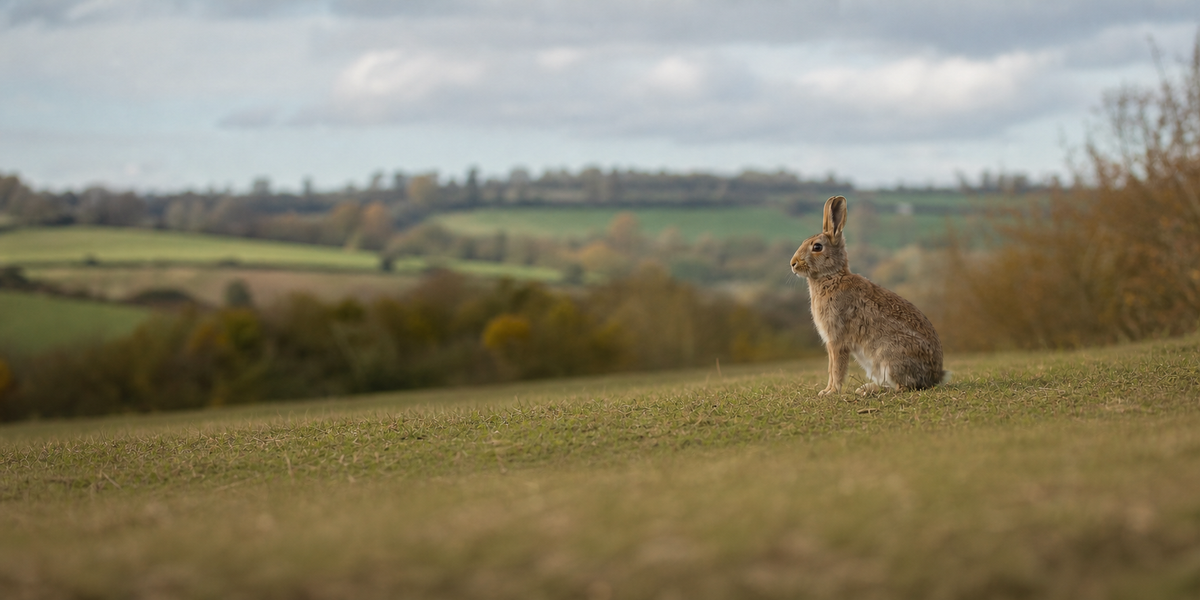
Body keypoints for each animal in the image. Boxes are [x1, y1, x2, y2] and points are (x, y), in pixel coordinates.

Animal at [791, 195, 947, 397]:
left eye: (817, 247)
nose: (793, 264)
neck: (832, 276)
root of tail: (936, 376)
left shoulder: (837, 339)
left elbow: (836, 368)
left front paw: (830, 392)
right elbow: (832, 367)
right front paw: (826, 391)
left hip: (889, 357)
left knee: (904, 387)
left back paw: (870, 391)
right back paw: (865, 388)